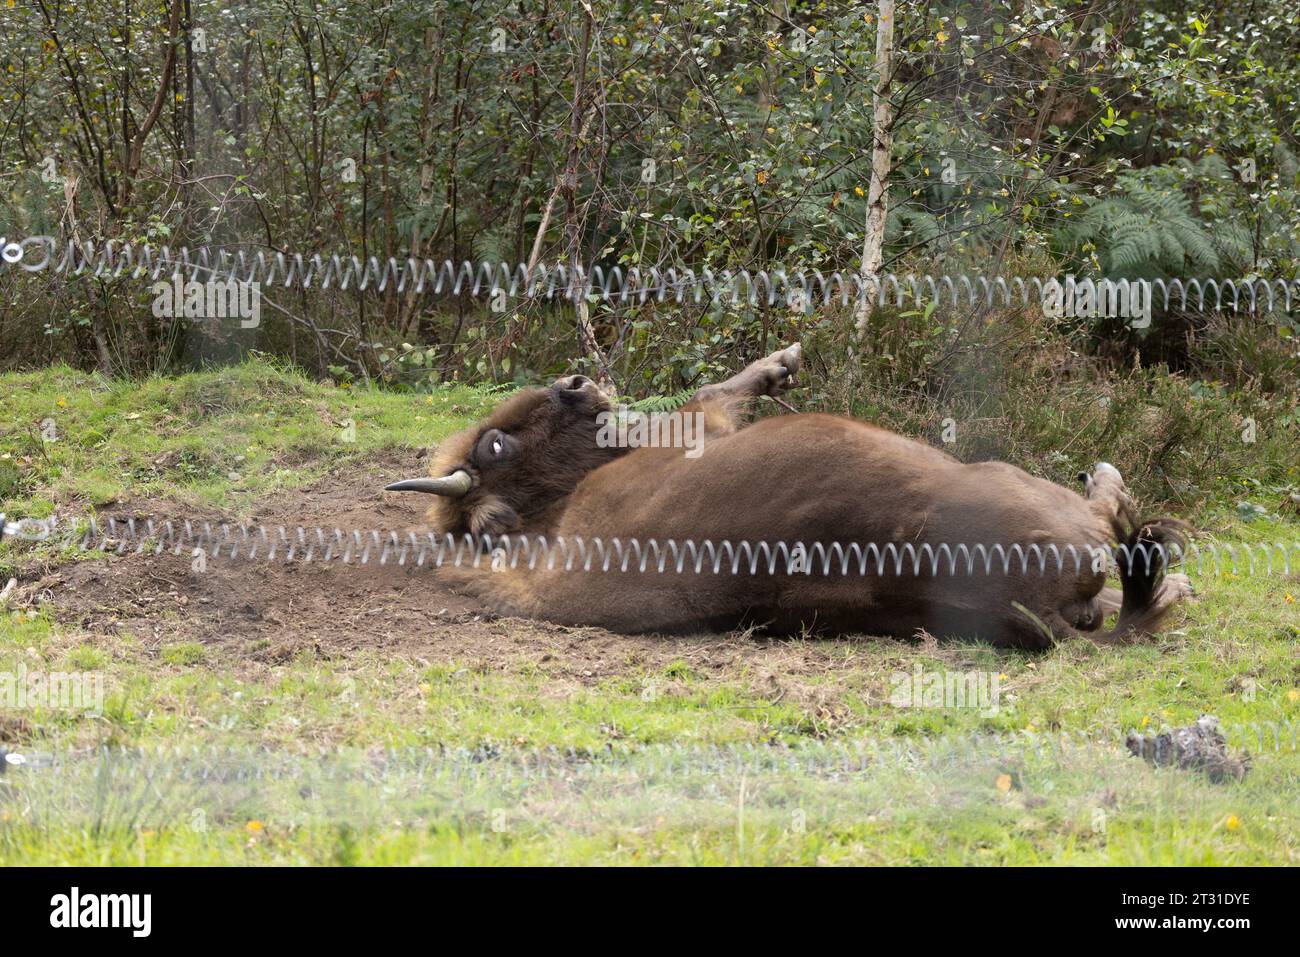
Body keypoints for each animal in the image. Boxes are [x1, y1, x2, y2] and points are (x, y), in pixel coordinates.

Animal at [384, 343, 1190, 650]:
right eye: (496, 446)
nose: (576, 383)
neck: (550, 519)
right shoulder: (701, 428)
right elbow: (715, 390)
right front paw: (782, 362)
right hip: (1006, 480)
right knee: (1112, 522)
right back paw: (1119, 499)